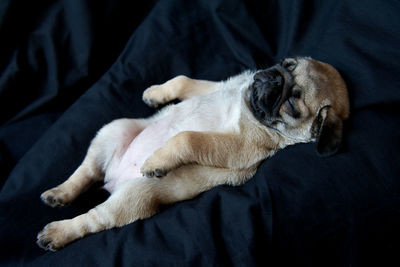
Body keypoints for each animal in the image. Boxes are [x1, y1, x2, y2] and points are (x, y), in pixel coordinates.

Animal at [38, 56, 350, 251]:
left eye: (293, 106)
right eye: (286, 63)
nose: (274, 79)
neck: (246, 104)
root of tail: (114, 178)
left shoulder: (237, 146)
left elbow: (187, 139)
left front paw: (157, 160)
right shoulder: (225, 85)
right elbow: (183, 81)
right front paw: (156, 94)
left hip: (133, 196)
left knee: (94, 218)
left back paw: (58, 232)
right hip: (115, 130)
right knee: (88, 170)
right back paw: (59, 193)